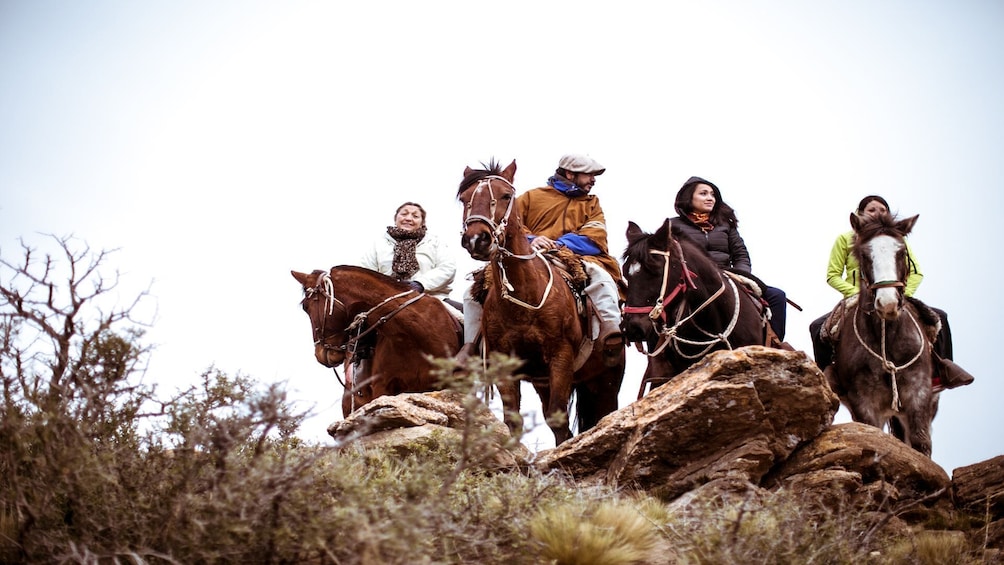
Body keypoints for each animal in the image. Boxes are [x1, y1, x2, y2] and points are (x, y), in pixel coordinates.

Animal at [459, 159, 622, 447]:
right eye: (465, 198)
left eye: (505, 195)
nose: (477, 239)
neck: (524, 301)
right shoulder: (506, 365)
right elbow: (512, 421)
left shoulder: (560, 357)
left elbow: (558, 422)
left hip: (606, 381)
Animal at [823, 212, 939, 455]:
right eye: (864, 254)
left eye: (902, 252)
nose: (887, 303)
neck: (888, 339)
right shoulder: (864, 403)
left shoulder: (919, 392)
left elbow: (920, 444)